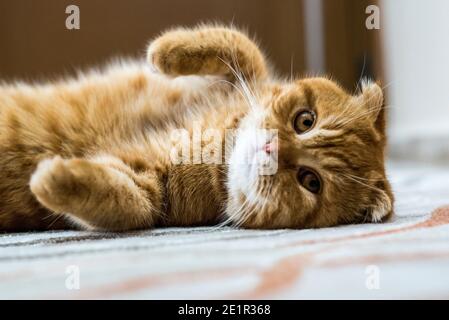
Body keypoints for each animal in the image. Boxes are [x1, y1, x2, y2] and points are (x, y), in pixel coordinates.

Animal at [0, 24, 392, 230]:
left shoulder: (150, 188)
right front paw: (163, 51)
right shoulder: (243, 78)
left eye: (311, 181)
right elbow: (237, 44)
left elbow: (121, 199)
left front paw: (52, 176)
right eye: (305, 120)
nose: (272, 148)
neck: (220, 143)